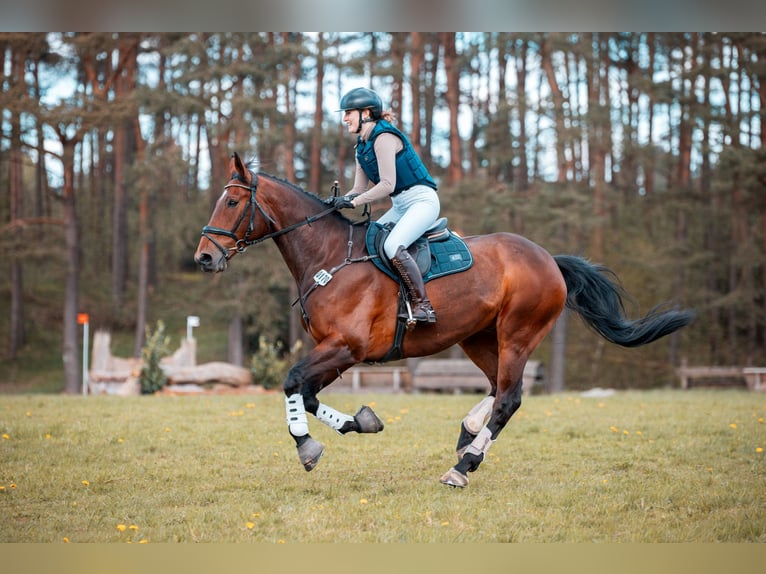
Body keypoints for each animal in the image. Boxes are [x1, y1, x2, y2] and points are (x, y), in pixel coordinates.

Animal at [194, 154, 696, 490]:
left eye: (233, 202)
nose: (204, 258)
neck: (329, 257)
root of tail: (548, 259)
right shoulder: (337, 353)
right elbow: (309, 394)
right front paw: (362, 422)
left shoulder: (346, 347)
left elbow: (292, 382)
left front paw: (307, 447)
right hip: (478, 336)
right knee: (497, 387)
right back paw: (468, 435)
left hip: (518, 333)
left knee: (510, 397)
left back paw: (463, 466)